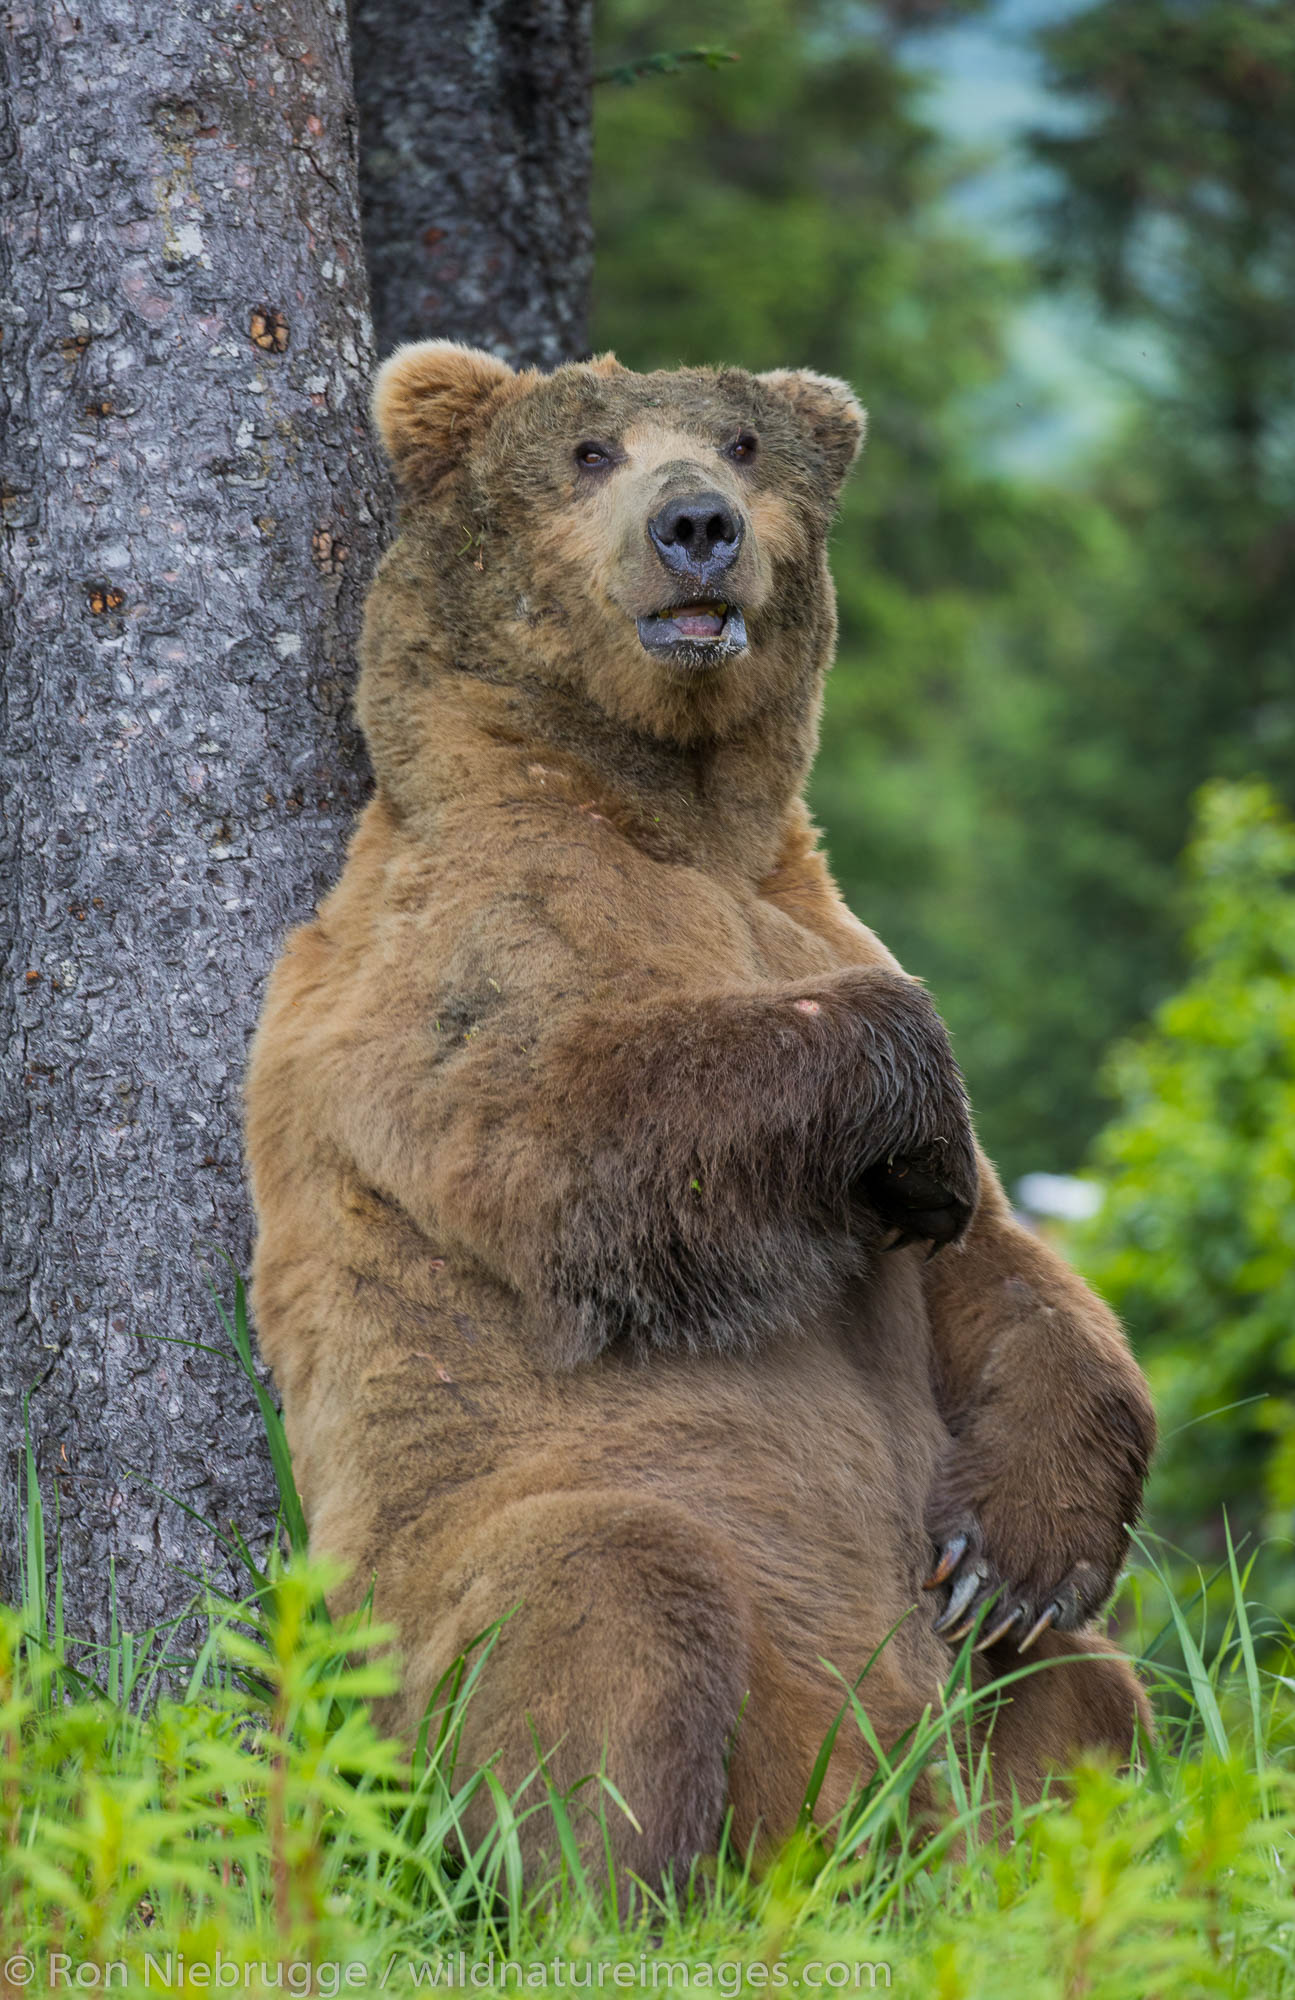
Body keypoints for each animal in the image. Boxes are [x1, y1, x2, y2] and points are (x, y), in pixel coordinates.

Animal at [247, 340, 1159, 1888]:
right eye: (588, 451)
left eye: (741, 441)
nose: (696, 527)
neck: (667, 808)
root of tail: (849, 1820)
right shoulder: (454, 942)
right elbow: (570, 1129)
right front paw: (908, 1075)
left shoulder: (801, 904)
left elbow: (1004, 1277)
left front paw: (1015, 1556)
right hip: (426, 1630)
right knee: (609, 1598)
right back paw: (615, 1892)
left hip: (951, 1723)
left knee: (1084, 1698)